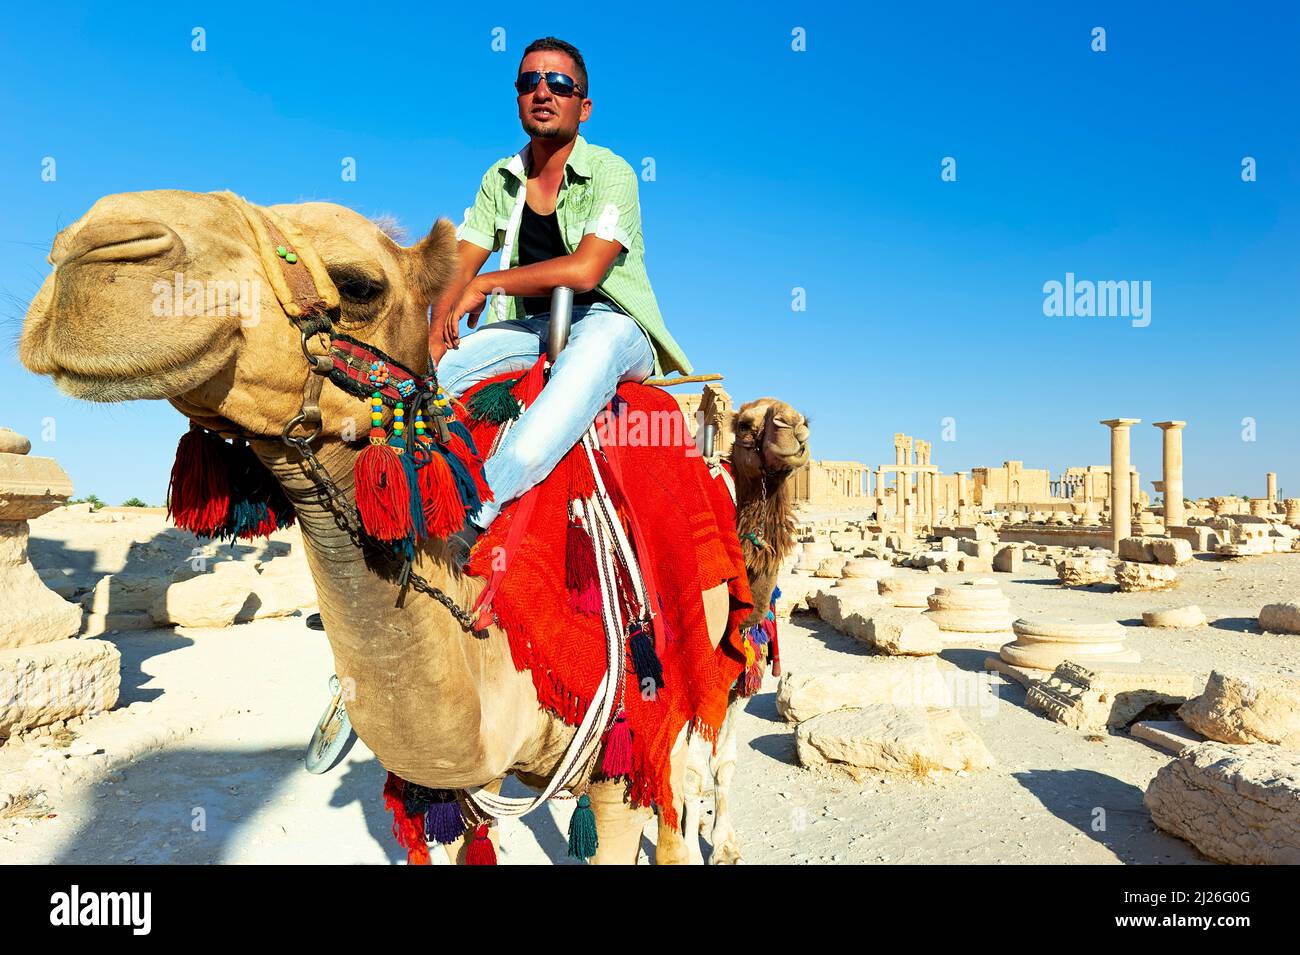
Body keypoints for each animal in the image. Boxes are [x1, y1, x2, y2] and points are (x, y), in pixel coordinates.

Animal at [665, 397, 806, 867]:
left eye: (802, 418)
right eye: (745, 424)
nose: (794, 427)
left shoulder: (740, 682)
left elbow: (723, 763)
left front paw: (724, 844)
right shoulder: (697, 685)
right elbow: (692, 773)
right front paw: (690, 853)